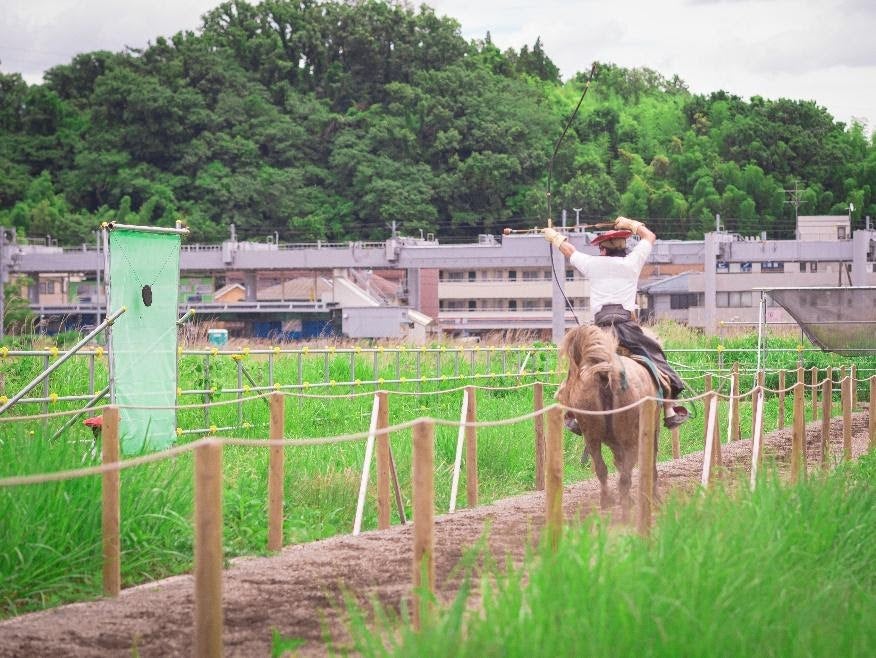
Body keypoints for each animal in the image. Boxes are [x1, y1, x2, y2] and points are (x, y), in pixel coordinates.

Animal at [556, 324, 660, 520]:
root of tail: (605, 373)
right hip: (630, 438)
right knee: (625, 476)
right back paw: (626, 510)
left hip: (592, 437)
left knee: (602, 468)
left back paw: (607, 501)